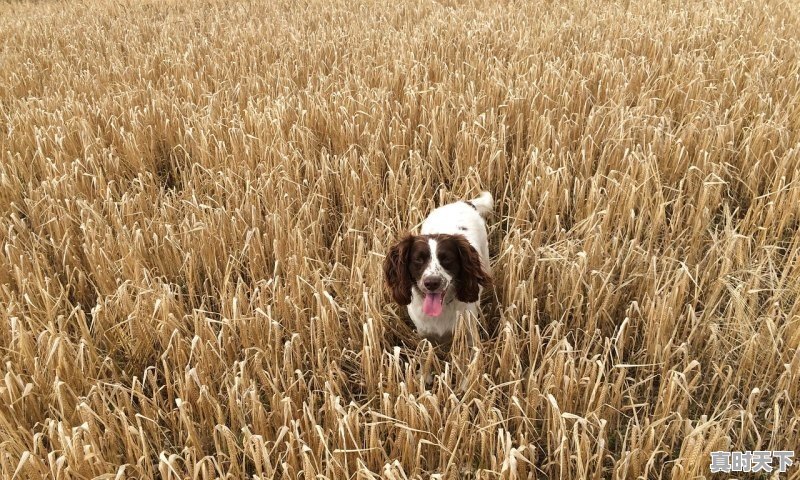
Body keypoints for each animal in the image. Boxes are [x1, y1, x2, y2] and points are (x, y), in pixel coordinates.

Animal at [382, 189, 494, 344]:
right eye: (418, 259)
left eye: (447, 259)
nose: (432, 283)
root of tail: (462, 203)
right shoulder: (425, 333)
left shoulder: (469, 331)